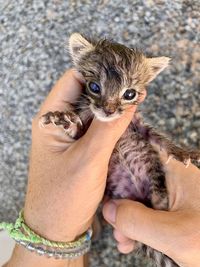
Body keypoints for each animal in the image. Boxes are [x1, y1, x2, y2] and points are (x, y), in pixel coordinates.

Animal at [39, 33, 200, 267]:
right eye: (94, 87)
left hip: (157, 187)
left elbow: (160, 140)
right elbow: (76, 129)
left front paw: (184, 153)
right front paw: (63, 119)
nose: (109, 110)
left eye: (129, 94)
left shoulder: (139, 126)